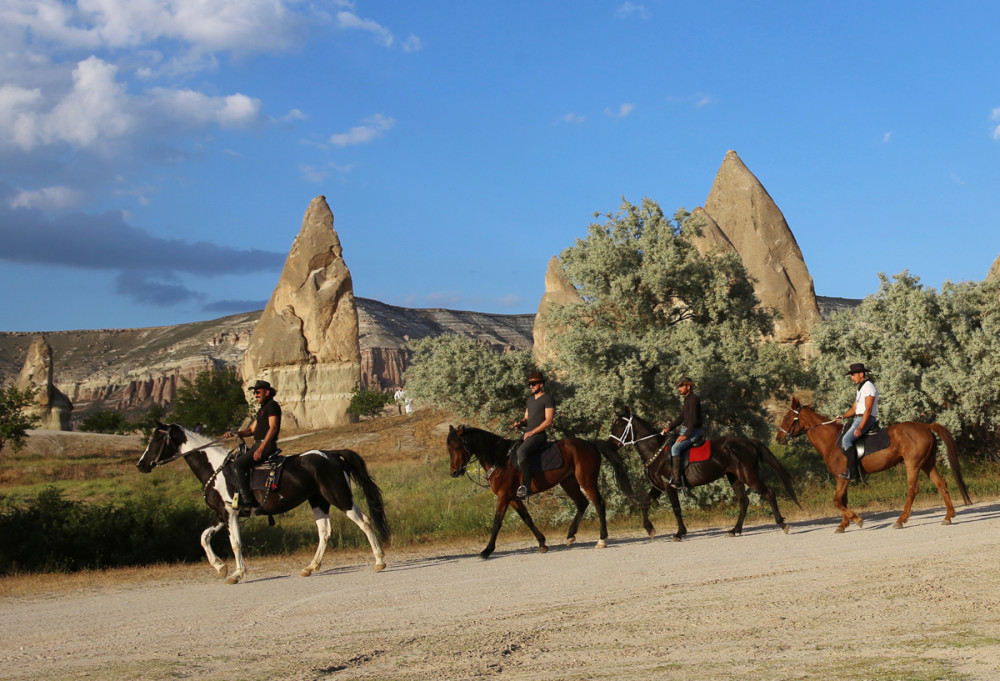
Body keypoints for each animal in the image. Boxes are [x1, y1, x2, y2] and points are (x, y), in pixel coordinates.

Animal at [139, 422, 388, 580]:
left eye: (157, 438)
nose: (141, 465)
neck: (216, 469)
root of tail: (332, 454)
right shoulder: (220, 514)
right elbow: (204, 537)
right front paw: (220, 567)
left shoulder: (230, 514)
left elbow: (235, 543)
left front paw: (237, 573)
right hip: (318, 501)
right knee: (324, 532)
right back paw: (310, 567)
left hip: (340, 498)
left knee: (365, 521)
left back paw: (379, 561)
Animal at [446, 424, 632, 556]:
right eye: (449, 448)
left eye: (458, 447)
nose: (454, 472)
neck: (499, 460)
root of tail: (589, 443)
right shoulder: (513, 497)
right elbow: (527, 519)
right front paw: (542, 543)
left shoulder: (503, 496)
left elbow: (497, 522)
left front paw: (487, 550)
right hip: (568, 481)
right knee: (582, 503)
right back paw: (570, 536)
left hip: (586, 480)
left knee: (598, 503)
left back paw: (601, 539)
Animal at [608, 404, 796, 540]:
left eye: (620, 425)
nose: (610, 443)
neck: (657, 451)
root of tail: (749, 442)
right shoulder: (658, 487)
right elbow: (646, 504)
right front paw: (649, 529)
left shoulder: (669, 486)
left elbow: (676, 508)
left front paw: (679, 533)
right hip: (735, 478)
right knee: (744, 501)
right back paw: (735, 530)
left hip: (749, 476)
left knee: (769, 493)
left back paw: (782, 524)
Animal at [772, 398, 968, 532]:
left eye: (789, 417)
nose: (779, 438)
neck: (831, 441)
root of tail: (926, 426)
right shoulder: (844, 478)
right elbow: (842, 500)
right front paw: (843, 525)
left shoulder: (843, 478)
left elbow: (836, 500)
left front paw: (857, 519)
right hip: (927, 463)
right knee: (941, 484)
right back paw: (948, 516)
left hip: (913, 464)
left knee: (913, 489)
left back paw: (900, 520)